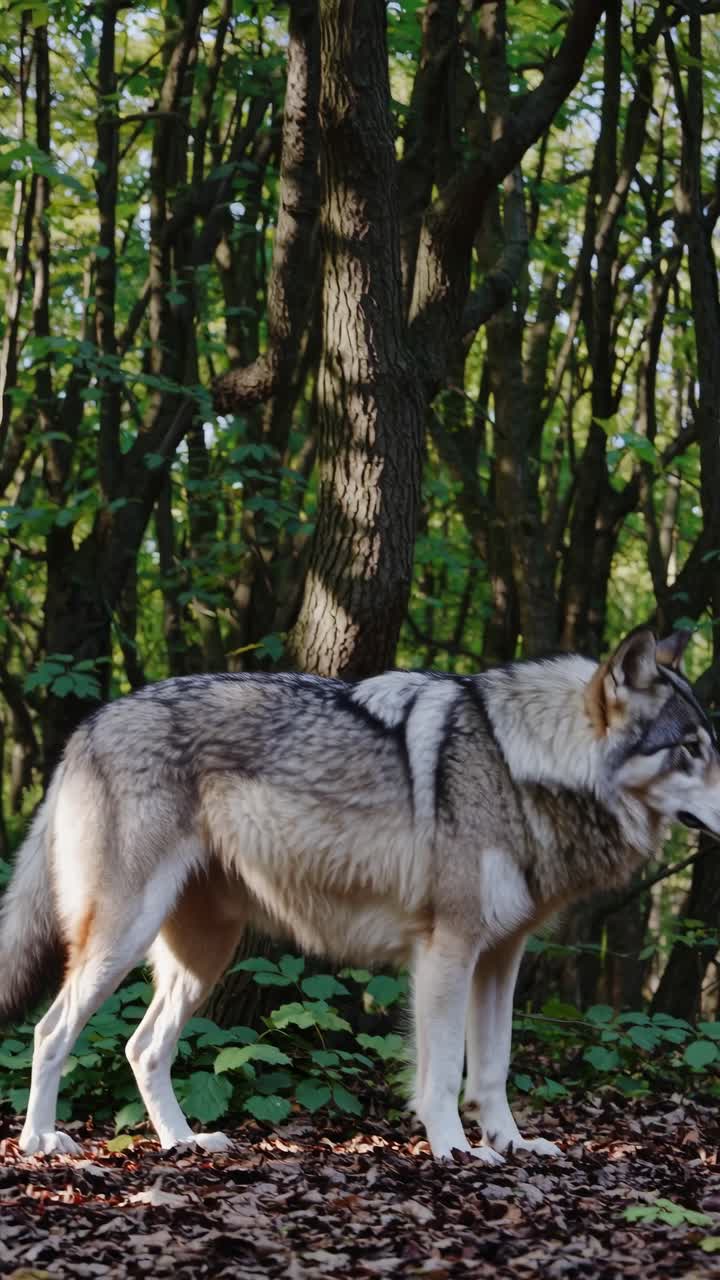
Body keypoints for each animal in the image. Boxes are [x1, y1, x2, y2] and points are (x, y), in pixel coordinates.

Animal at [2, 627, 719, 1161]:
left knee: (142, 1047)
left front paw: (512, 1145)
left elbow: (492, 1069)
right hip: (122, 939)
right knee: (49, 1030)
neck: (522, 764)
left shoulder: (500, 958)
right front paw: (456, 1152)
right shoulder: (447, 951)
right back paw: (42, 1141)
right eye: (690, 749)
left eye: (709, 746)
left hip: (203, 959)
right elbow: (442, 1074)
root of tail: (87, 726)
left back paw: (183, 1142)